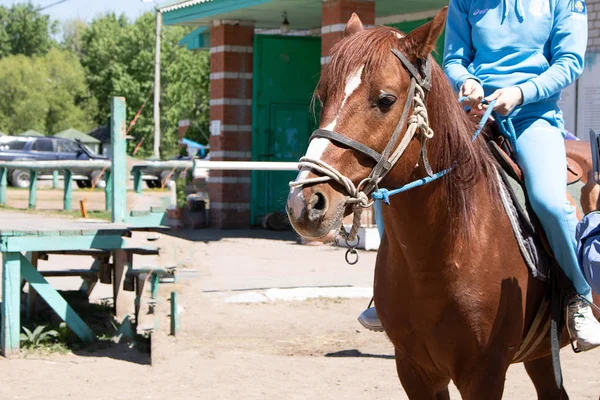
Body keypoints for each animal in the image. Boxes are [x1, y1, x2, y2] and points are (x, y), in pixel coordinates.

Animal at [286, 7, 600, 398]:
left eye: (386, 99)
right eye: (324, 94)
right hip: (541, 355)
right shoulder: (415, 371)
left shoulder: (483, 374)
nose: (304, 202)